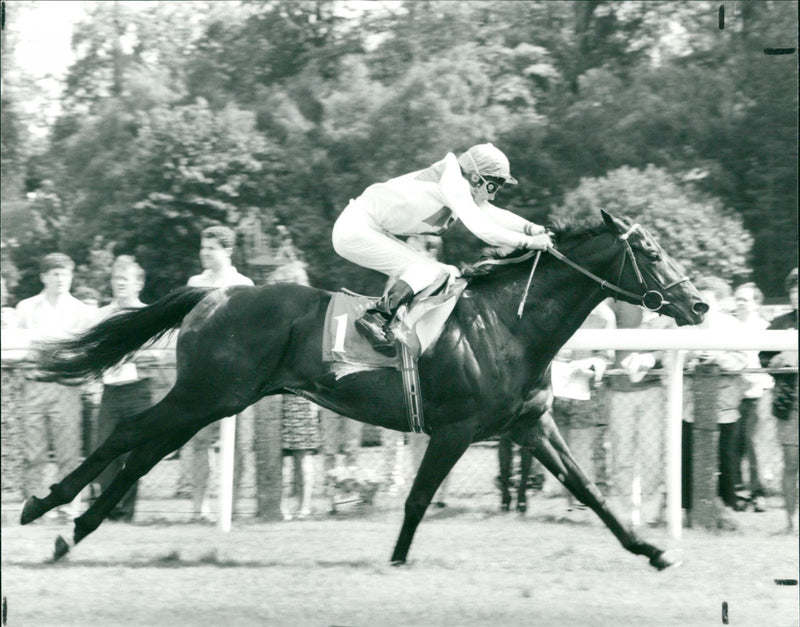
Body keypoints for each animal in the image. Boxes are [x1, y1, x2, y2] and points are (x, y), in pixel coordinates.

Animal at [20, 211, 708, 568]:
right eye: (650, 251)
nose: (699, 304)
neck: (508, 323)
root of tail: (215, 294)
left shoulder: (528, 425)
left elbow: (589, 489)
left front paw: (652, 549)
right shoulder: (456, 429)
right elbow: (418, 497)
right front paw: (398, 558)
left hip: (214, 399)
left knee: (145, 451)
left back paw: (71, 529)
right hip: (209, 394)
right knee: (130, 433)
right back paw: (44, 510)